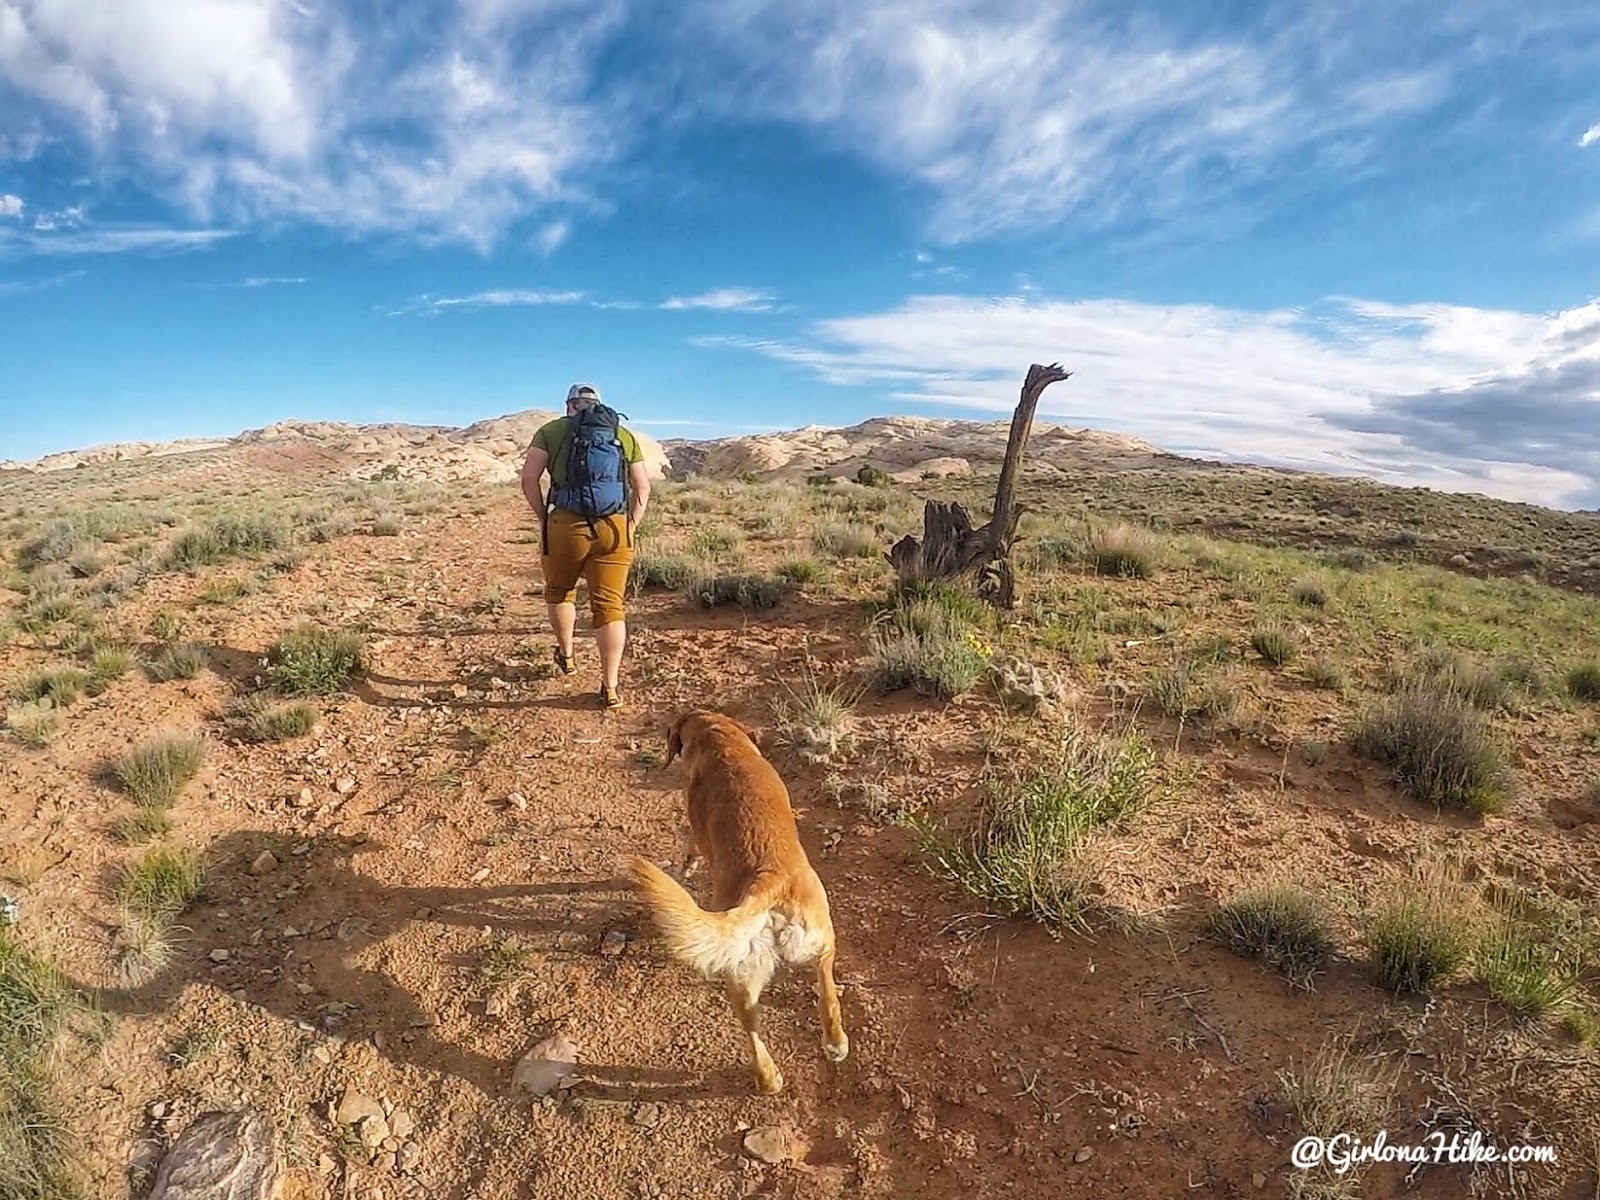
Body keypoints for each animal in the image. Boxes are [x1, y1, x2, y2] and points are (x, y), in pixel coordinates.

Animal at [620, 710, 851, 1094]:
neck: (723, 743)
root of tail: (767, 883)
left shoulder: (697, 832)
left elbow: (692, 847)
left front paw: (687, 865)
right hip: (810, 944)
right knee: (823, 993)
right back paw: (820, 1051)